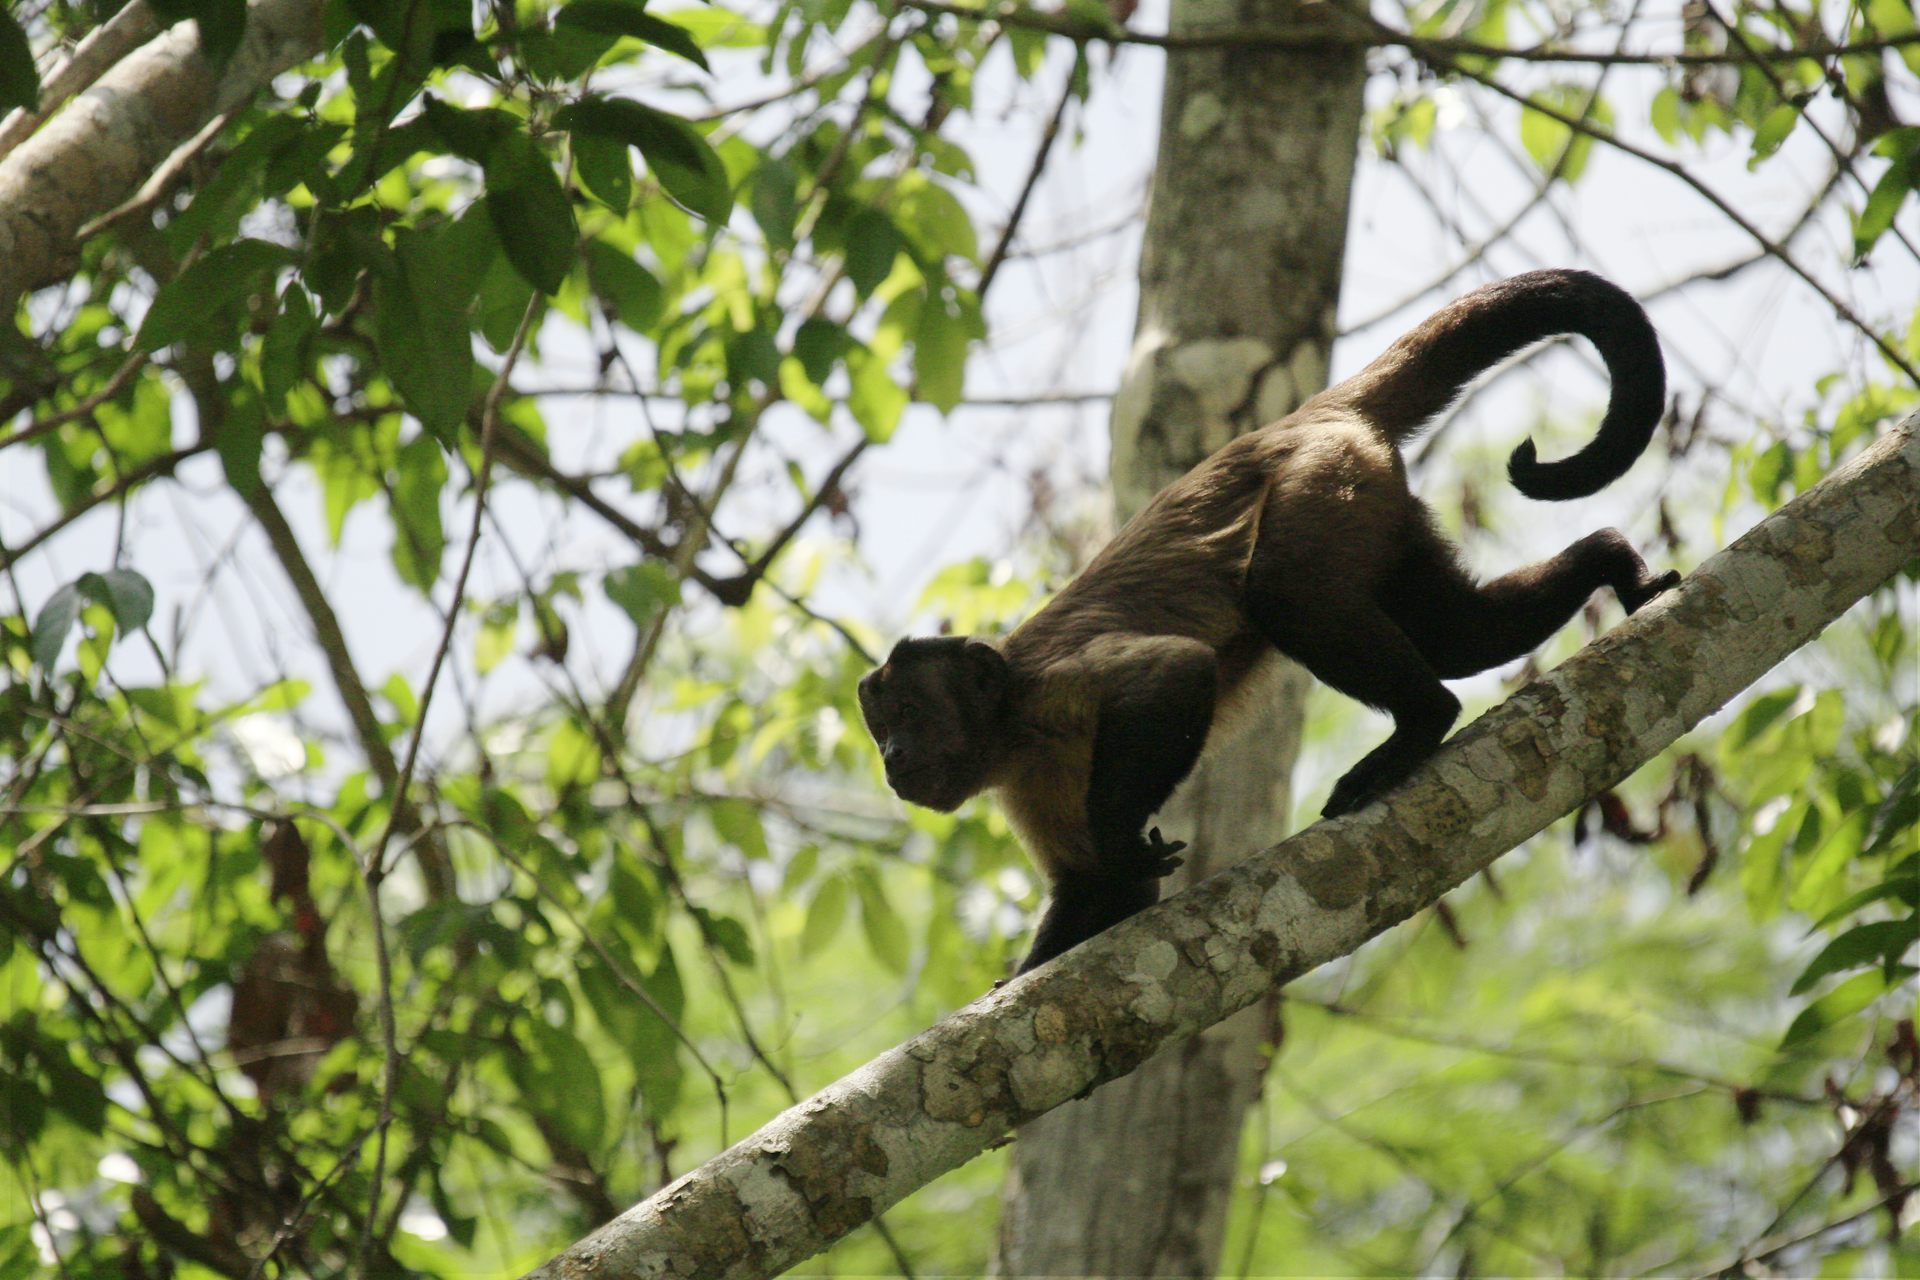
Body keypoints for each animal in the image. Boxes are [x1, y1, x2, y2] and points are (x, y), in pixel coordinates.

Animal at [857, 270, 1681, 975]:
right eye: (881, 728)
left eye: (909, 712)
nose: (892, 756)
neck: (1011, 725)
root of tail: (1306, 414)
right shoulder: (1025, 779)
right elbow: (1101, 890)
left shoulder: (1046, 689)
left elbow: (1174, 670)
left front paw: (1124, 835)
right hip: (1378, 503)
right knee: (1455, 634)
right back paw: (1608, 561)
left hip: (1323, 475)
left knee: (1286, 594)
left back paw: (1422, 720)